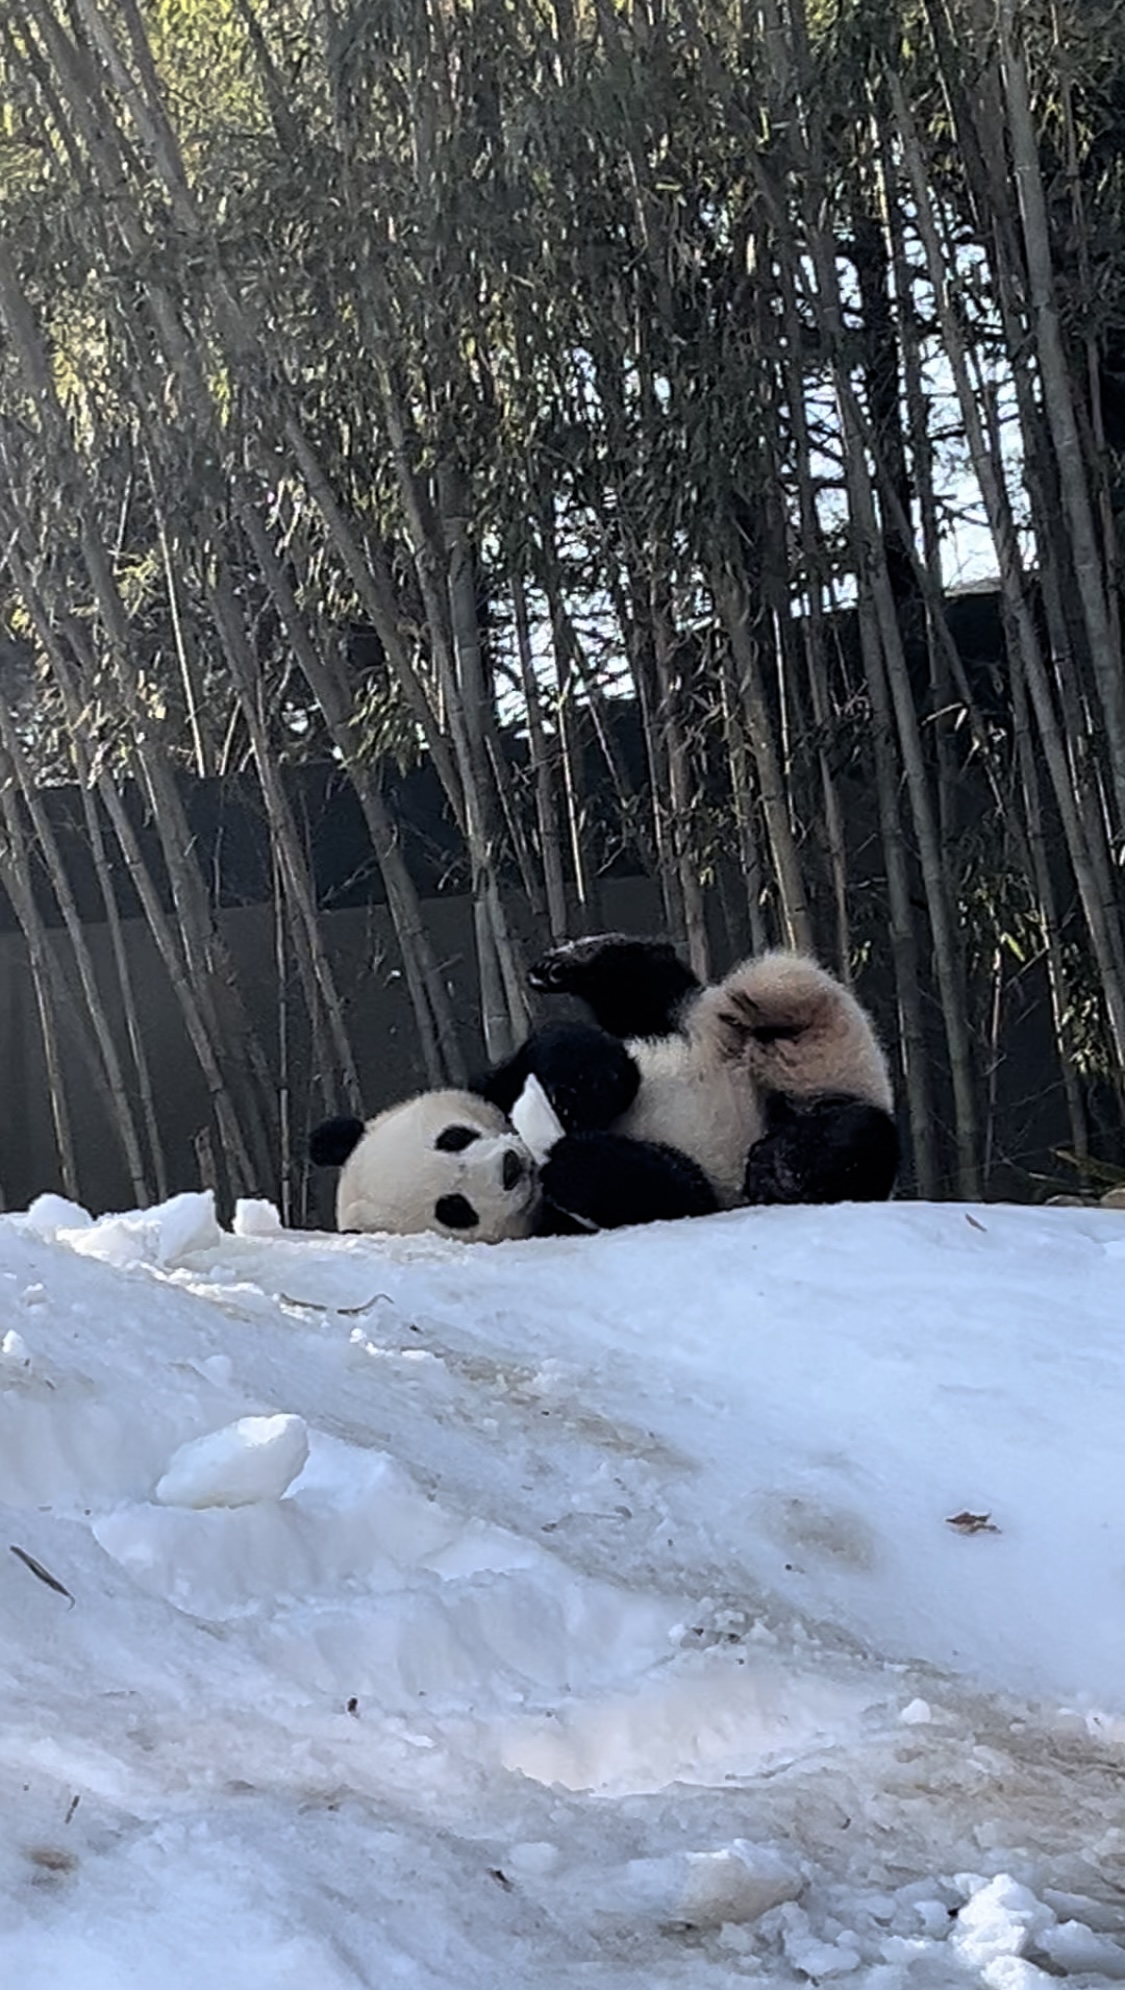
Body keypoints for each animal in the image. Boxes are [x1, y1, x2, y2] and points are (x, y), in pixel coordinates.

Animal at [310, 935, 900, 1241]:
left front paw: (574, 1089)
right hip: (822, 1106)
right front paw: (578, 1161)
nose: (510, 1166)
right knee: (853, 1139)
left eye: (453, 1137)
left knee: (654, 986)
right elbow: (671, 1191)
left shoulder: (502, 1077)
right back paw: (780, 1163)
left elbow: (575, 1052)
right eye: (453, 1209)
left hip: (709, 1023)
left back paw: (571, 961)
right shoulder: (567, 1221)